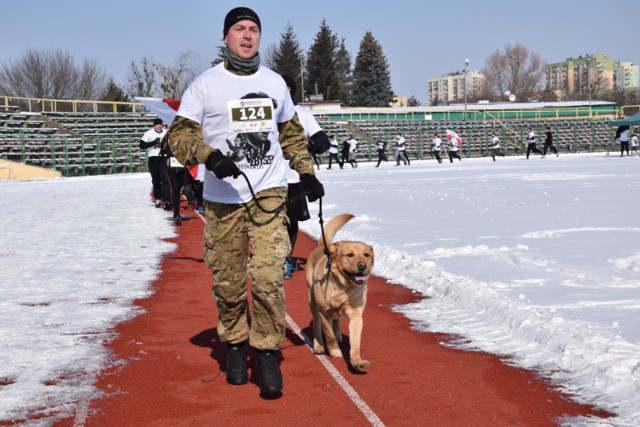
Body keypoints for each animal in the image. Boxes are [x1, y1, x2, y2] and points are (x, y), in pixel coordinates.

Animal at [304, 214, 376, 372]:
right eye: (349, 255)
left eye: (366, 254)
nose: (362, 265)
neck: (343, 286)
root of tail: (322, 246)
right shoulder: (324, 312)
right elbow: (328, 333)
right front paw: (334, 350)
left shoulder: (356, 316)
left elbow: (355, 343)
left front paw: (357, 361)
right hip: (312, 302)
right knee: (317, 325)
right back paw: (319, 346)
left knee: (336, 319)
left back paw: (337, 333)